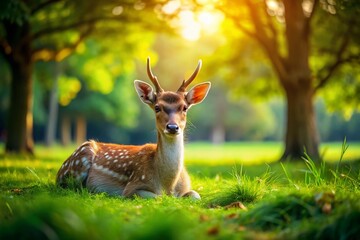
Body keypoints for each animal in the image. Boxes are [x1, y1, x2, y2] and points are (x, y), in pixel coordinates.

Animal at [56, 57, 211, 200]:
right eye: (157, 107)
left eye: (184, 107)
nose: (173, 127)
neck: (168, 185)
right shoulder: (133, 186)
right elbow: (157, 197)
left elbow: (196, 195)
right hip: (78, 162)